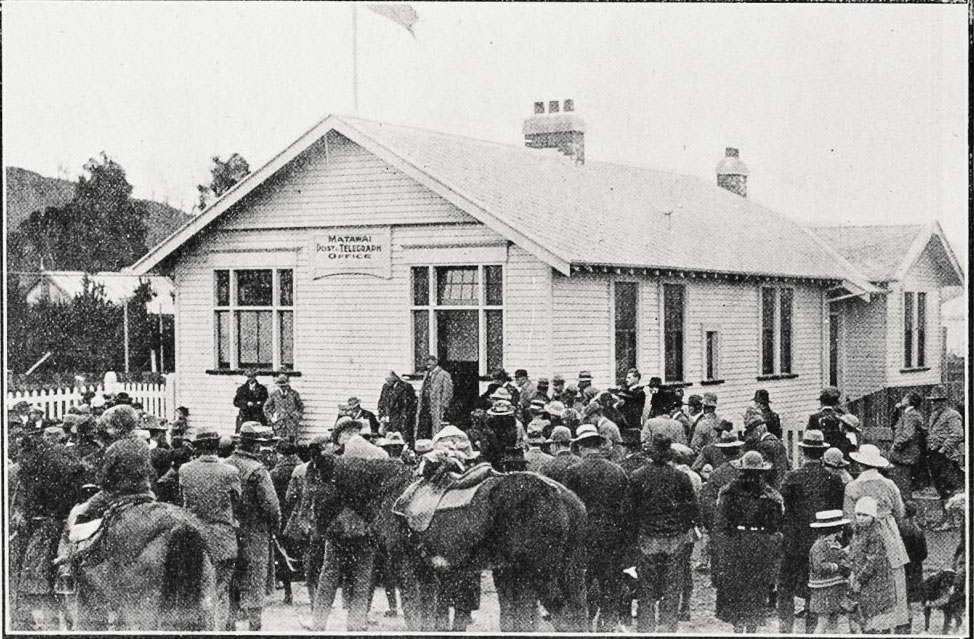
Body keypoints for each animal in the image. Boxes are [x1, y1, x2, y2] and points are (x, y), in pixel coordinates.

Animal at [312, 458, 588, 632]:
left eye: (313, 485)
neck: (387, 489)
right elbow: (427, 615)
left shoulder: (404, 565)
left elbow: (413, 612)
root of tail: (562, 495)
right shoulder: (426, 572)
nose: (309, 528)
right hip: (553, 572)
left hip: (540, 573)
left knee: (563, 613)